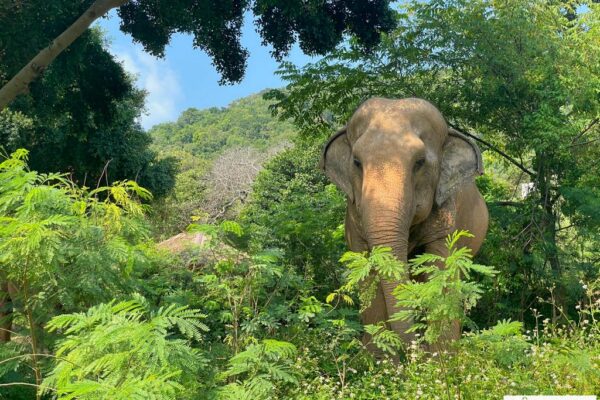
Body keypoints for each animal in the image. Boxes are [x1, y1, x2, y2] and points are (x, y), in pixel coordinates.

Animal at [318, 97, 488, 350]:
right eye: (356, 162)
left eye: (420, 162)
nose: (416, 350)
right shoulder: (353, 218)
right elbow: (367, 276)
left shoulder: (447, 214)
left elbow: (440, 271)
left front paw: (442, 357)